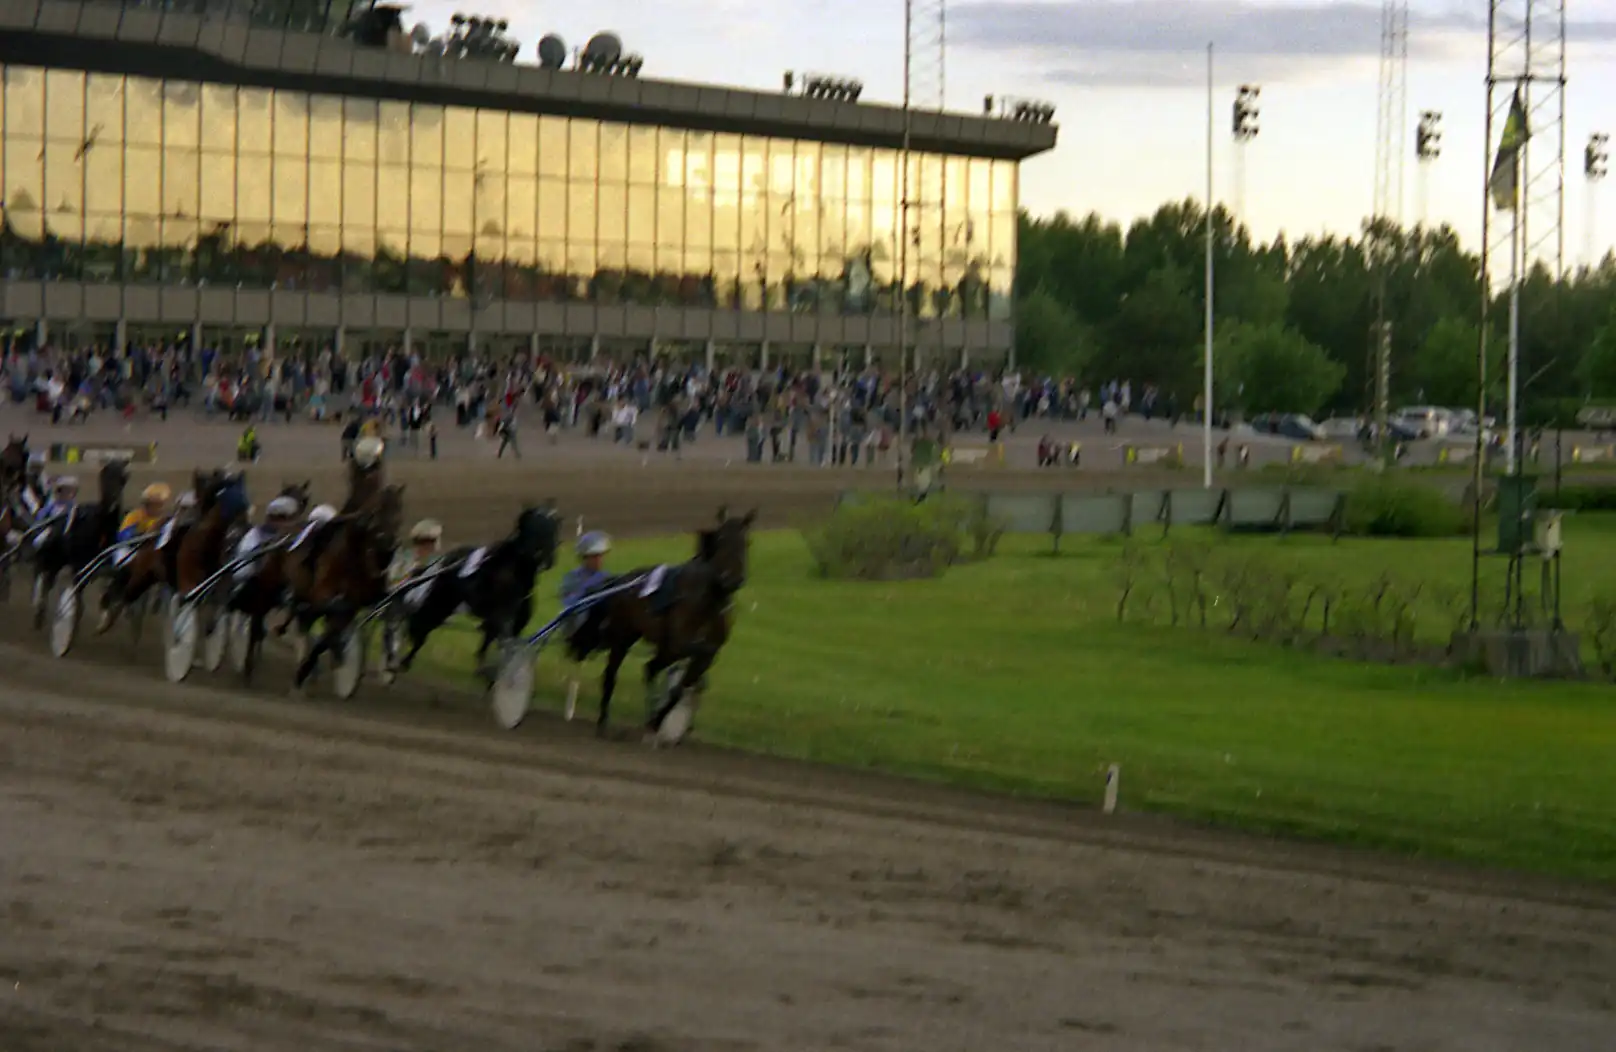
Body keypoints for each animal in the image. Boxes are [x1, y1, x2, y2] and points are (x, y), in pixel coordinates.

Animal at [284, 484, 405, 692]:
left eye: (399, 512)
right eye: (376, 511)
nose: (388, 545)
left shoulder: (359, 601)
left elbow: (391, 609)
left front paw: (390, 662)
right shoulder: (325, 598)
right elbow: (324, 638)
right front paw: (302, 674)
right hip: (305, 594)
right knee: (303, 620)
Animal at [386, 503, 561, 684]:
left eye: (554, 525)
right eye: (533, 526)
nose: (547, 558)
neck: (514, 574)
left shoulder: (514, 622)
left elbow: (498, 643)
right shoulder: (500, 616)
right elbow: (498, 639)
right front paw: (489, 672)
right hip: (441, 604)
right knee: (422, 629)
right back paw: (402, 662)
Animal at [567, 506, 755, 739]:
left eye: (746, 542)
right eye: (720, 539)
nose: (732, 579)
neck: (709, 601)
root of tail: (622, 580)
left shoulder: (703, 654)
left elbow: (680, 687)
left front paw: (657, 721)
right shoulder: (677, 644)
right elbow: (680, 661)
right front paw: (657, 719)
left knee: (650, 669)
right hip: (623, 636)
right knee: (612, 674)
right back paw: (603, 721)